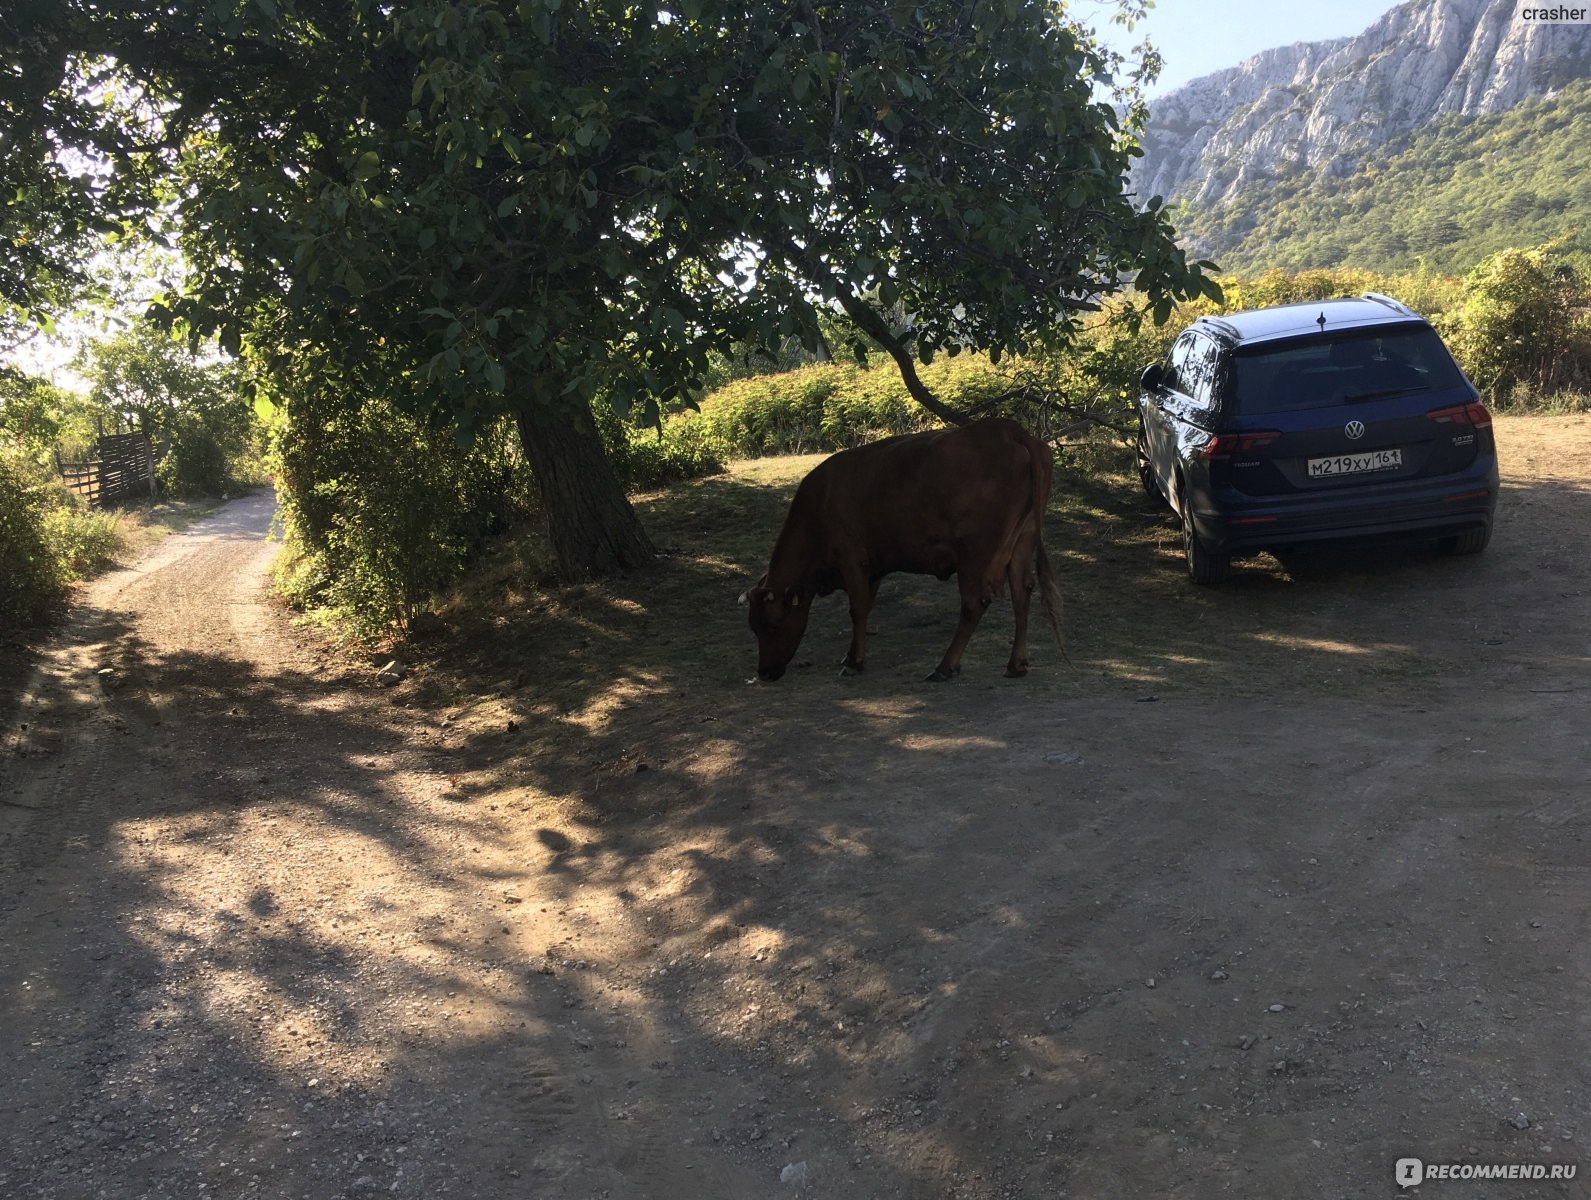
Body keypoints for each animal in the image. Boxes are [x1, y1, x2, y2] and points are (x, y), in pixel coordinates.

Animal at [747, 416, 1069, 681]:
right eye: (753, 626)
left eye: (774, 623)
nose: (764, 672)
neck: (820, 504)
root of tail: (1009, 430)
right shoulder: (872, 568)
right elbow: (866, 606)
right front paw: (852, 654)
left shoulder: (852, 560)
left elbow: (857, 609)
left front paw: (854, 662)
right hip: (1022, 542)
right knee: (1021, 593)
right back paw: (1016, 664)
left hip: (973, 556)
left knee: (973, 604)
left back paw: (945, 666)